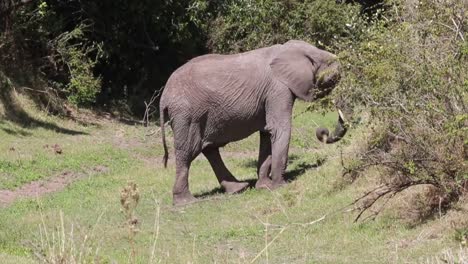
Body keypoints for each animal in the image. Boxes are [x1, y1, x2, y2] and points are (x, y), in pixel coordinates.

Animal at [160, 39, 348, 205]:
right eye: (331, 80)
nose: (323, 131)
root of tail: (164, 96)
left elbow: (267, 134)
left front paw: (264, 186)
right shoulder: (277, 89)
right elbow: (280, 129)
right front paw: (280, 186)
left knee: (209, 148)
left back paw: (238, 188)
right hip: (187, 115)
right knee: (187, 151)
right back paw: (186, 202)